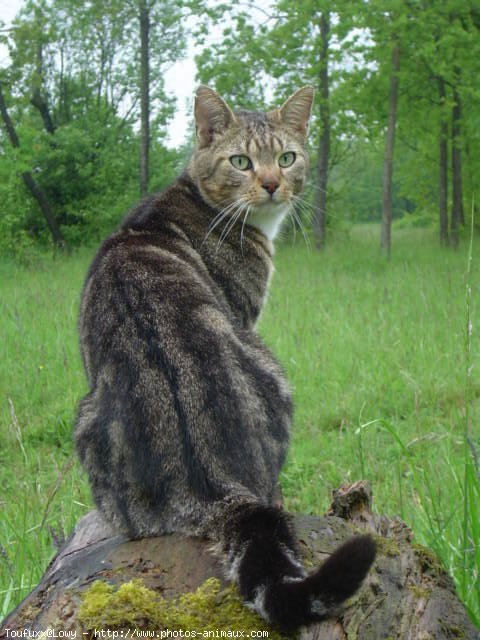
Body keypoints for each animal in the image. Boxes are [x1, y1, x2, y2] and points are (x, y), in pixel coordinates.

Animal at [74, 85, 376, 632]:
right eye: (241, 162)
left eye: (286, 157)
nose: (273, 184)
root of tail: (215, 486)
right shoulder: (247, 315)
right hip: (266, 364)